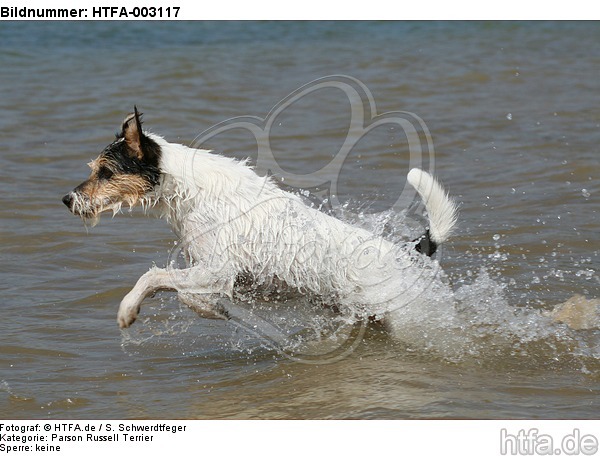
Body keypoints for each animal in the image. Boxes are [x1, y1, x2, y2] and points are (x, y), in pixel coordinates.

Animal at [62, 108, 460, 330]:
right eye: (94, 170)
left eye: (106, 172)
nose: (66, 199)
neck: (189, 192)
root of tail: (407, 252)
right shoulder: (210, 270)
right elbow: (180, 289)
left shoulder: (217, 268)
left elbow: (157, 278)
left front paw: (130, 309)